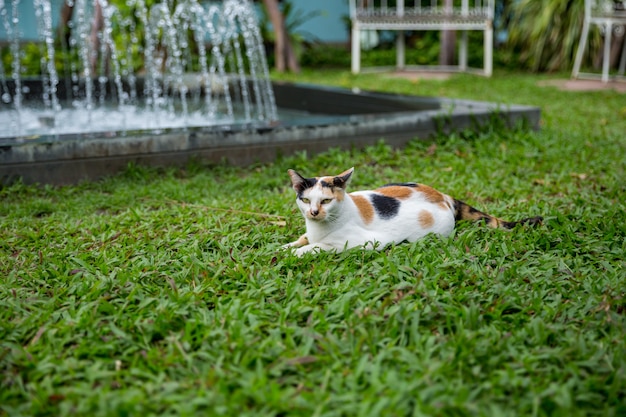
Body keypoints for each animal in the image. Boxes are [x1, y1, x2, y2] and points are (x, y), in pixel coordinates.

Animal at [282, 167, 540, 255]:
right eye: (305, 200)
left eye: (326, 201)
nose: (313, 212)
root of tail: (443, 195)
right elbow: (302, 238)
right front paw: (284, 247)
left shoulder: (364, 242)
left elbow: (319, 246)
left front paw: (298, 252)